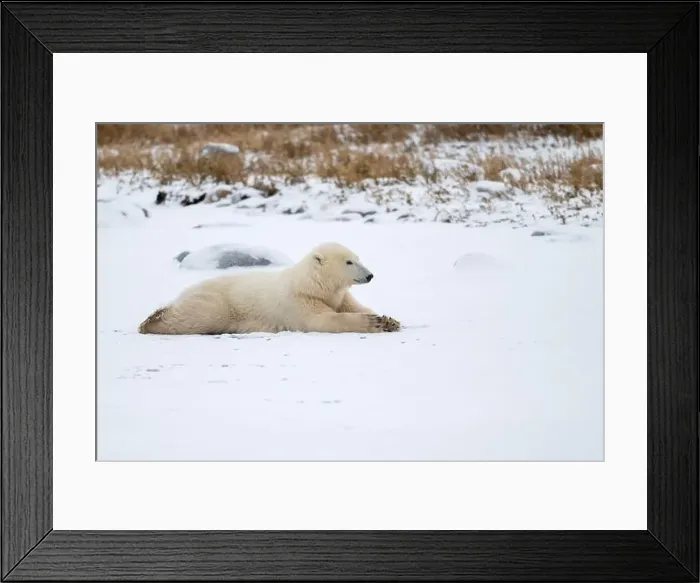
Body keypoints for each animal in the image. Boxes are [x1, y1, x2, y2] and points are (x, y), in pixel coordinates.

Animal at [138, 242, 401, 335]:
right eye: (348, 262)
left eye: (357, 258)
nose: (370, 275)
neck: (312, 286)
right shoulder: (297, 301)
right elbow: (322, 320)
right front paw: (373, 323)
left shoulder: (340, 297)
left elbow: (355, 306)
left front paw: (390, 320)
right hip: (217, 303)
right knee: (195, 316)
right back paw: (152, 320)